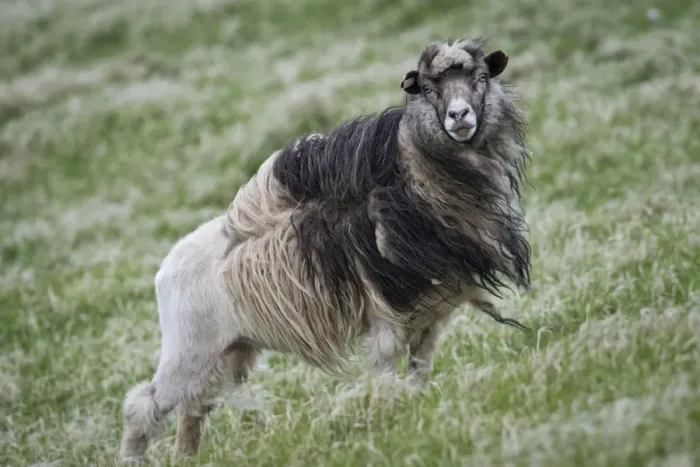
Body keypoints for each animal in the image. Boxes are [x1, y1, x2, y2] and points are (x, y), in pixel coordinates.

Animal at [118, 37, 532, 463]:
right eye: (429, 89)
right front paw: (386, 425)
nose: (459, 116)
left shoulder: (430, 316)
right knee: (142, 406)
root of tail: (164, 269)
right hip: (189, 352)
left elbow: (419, 373)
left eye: (481, 77)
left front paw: (415, 414)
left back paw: (187, 457)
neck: (416, 183)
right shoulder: (385, 317)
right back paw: (132, 457)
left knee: (193, 406)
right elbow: (385, 374)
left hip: (227, 353)